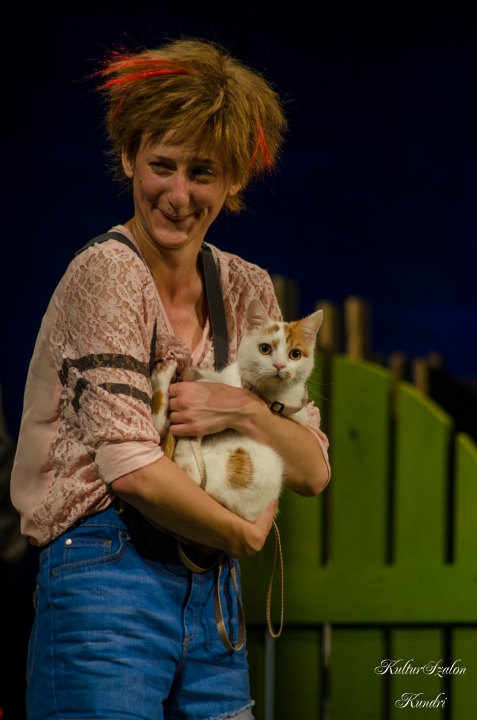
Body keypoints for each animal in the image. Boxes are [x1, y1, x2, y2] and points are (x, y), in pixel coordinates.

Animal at [150, 298, 323, 522]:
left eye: (295, 354)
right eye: (265, 349)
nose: (279, 366)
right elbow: (212, 376)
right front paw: (193, 371)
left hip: (264, 465)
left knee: (184, 461)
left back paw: (165, 376)